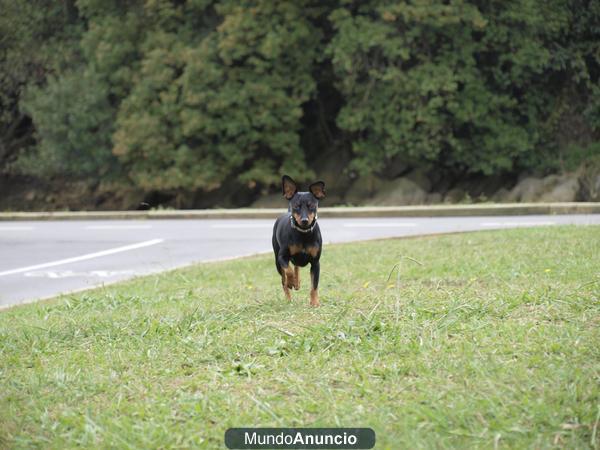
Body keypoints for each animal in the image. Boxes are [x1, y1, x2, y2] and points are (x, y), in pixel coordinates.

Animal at [274, 175, 328, 306]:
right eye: (296, 206)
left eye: (312, 206)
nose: (304, 220)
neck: (303, 234)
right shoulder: (282, 257)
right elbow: (288, 270)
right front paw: (291, 282)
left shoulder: (315, 263)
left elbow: (314, 285)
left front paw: (314, 303)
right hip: (277, 261)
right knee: (283, 280)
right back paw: (289, 297)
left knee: (296, 265)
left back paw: (297, 282)